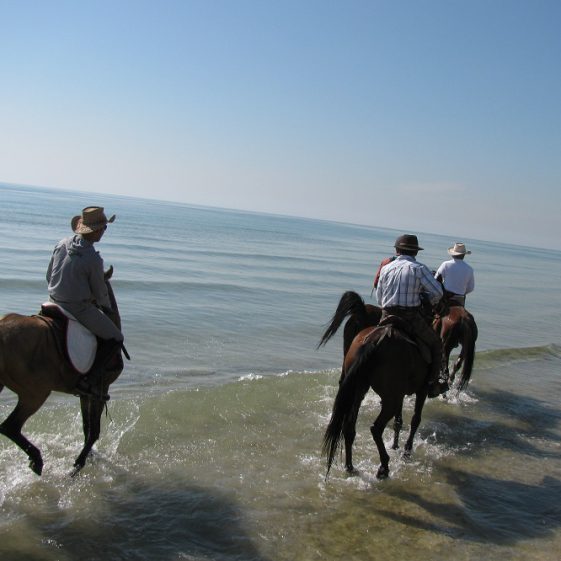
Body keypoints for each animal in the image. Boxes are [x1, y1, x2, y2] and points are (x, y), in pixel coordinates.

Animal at [0, 266, 123, 472]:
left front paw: (87, 457)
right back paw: (37, 459)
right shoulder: (101, 390)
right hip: (35, 394)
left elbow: (86, 428)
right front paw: (79, 464)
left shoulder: (86, 394)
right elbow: (94, 431)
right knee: (10, 427)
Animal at [320, 290, 428, 480]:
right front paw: (405, 450)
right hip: (389, 397)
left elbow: (400, 419)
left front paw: (397, 445)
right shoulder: (420, 390)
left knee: (349, 424)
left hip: (357, 384)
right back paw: (383, 467)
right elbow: (415, 419)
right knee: (376, 427)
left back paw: (351, 465)